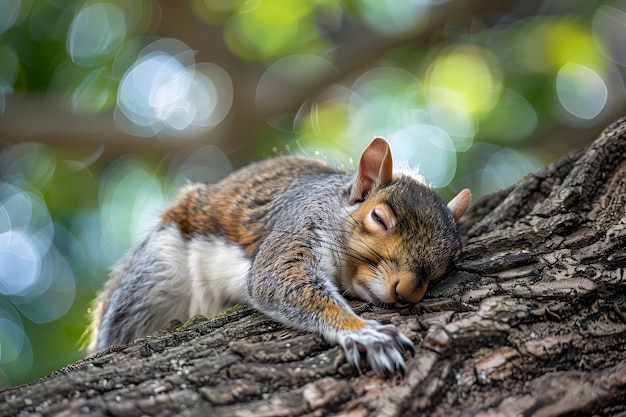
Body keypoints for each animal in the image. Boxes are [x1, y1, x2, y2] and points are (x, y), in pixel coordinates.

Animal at [88, 138, 468, 376]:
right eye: (378, 218)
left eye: (450, 261)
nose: (407, 291)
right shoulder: (299, 223)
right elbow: (275, 277)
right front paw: (363, 333)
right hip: (156, 276)